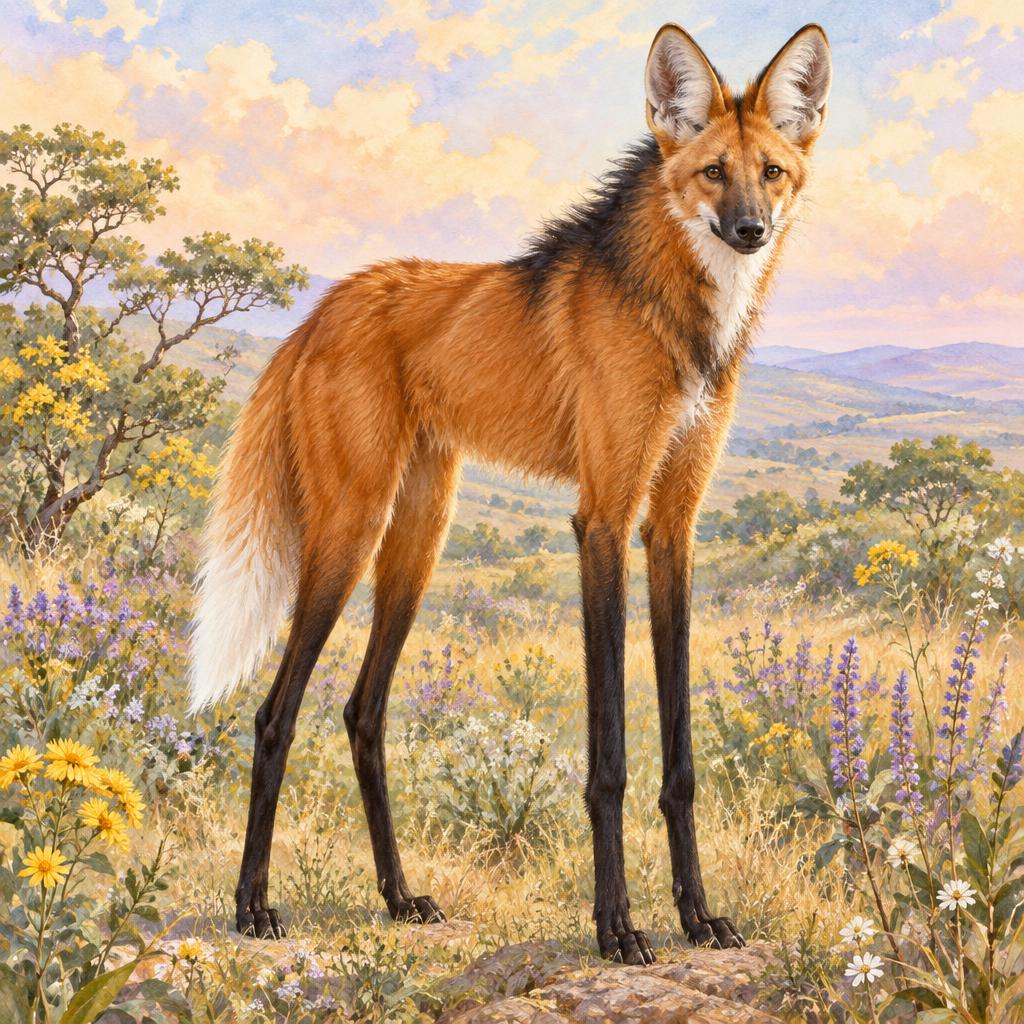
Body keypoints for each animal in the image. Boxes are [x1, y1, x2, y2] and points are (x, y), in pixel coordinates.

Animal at [190, 22, 831, 964]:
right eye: (714, 171)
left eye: (773, 171)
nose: (750, 229)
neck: (678, 321)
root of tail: (320, 307)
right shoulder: (602, 519)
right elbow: (610, 760)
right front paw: (617, 927)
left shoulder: (670, 528)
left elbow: (679, 761)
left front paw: (698, 917)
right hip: (350, 533)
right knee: (275, 716)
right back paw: (254, 906)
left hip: (419, 543)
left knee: (363, 713)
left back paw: (398, 896)